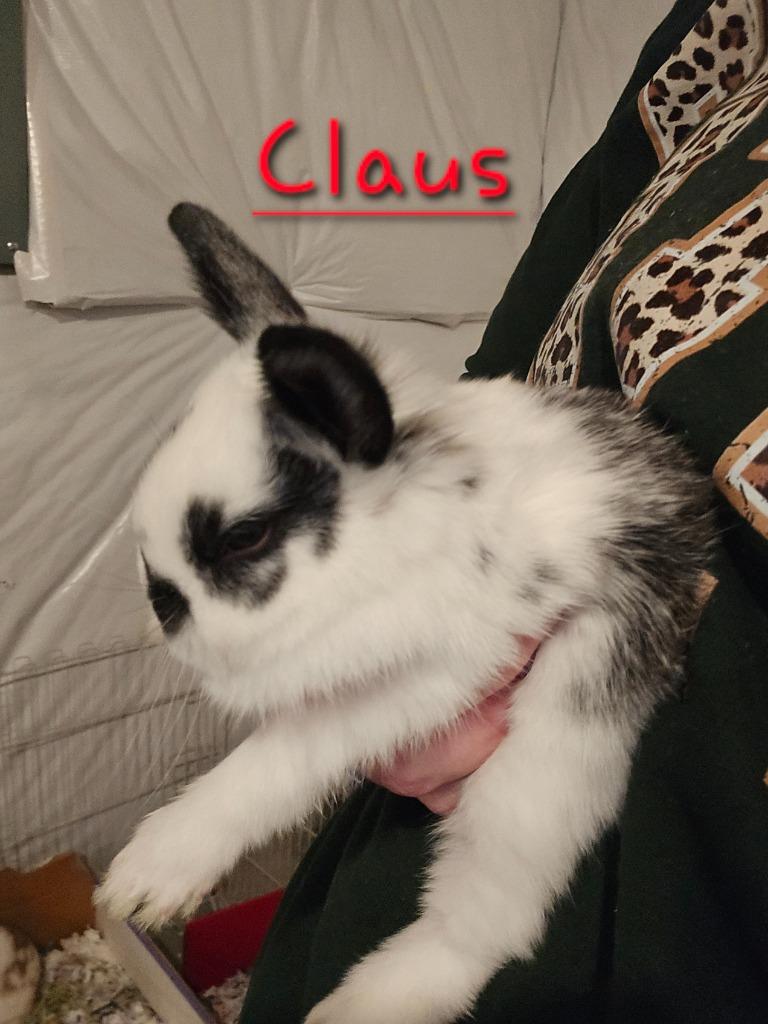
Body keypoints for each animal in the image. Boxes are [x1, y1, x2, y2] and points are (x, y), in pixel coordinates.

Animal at [96, 203, 714, 1024]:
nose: (162, 610)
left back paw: (357, 1004)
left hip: (536, 784)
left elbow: (272, 765)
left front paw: (145, 877)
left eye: (245, 536)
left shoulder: (414, 683)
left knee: (485, 925)